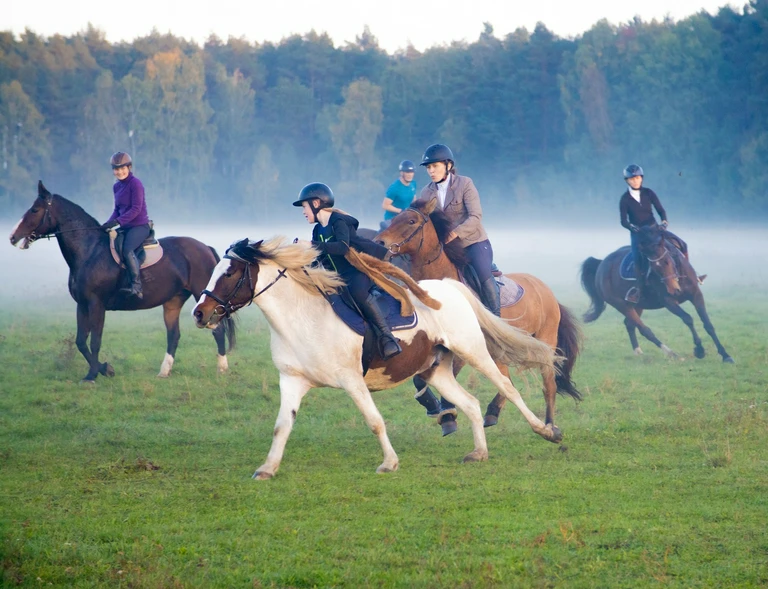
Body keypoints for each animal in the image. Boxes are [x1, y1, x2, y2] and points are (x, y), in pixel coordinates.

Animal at [9, 180, 236, 382]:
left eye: (35, 210)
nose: (12, 237)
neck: (90, 251)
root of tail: (205, 247)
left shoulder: (96, 304)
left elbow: (95, 341)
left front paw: (93, 375)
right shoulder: (82, 304)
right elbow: (81, 341)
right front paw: (105, 369)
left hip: (203, 296)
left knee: (217, 330)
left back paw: (222, 368)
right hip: (173, 301)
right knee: (174, 335)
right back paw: (164, 371)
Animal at [194, 235, 564, 478]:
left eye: (229, 273)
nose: (200, 313)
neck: (302, 319)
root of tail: (449, 285)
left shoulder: (351, 380)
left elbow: (374, 421)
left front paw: (389, 463)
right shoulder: (292, 380)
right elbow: (282, 426)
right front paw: (267, 468)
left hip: (472, 352)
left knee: (507, 387)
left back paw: (547, 431)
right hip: (435, 370)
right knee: (470, 403)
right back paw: (479, 452)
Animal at [374, 196, 584, 436]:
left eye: (411, 221)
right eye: (394, 218)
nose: (379, 243)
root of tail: (547, 291)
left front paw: (448, 414)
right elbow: (419, 379)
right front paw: (432, 405)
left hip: (544, 341)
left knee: (548, 384)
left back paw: (550, 425)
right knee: (506, 379)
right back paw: (493, 412)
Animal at [580, 224, 736, 360]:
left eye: (669, 261)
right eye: (653, 268)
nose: (673, 289)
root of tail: (601, 264)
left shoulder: (696, 295)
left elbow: (707, 324)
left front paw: (725, 355)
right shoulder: (669, 302)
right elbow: (688, 318)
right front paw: (699, 350)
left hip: (638, 305)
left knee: (630, 324)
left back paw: (638, 351)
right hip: (621, 305)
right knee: (644, 330)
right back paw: (672, 354)